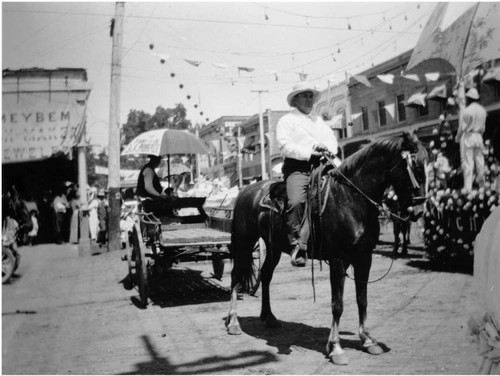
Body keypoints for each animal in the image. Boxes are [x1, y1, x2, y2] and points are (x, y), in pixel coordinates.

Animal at [226, 132, 426, 364]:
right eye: (415, 167)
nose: (419, 211)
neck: (350, 199)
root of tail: (246, 191)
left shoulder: (364, 258)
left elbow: (362, 300)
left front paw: (368, 340)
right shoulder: (338, 261)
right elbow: (337, 304)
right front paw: (336, 348)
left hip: (273, 247)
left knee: (265, 275)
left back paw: (268, 317)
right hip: (244, 242)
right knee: (236, 276)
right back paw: (233, 323)